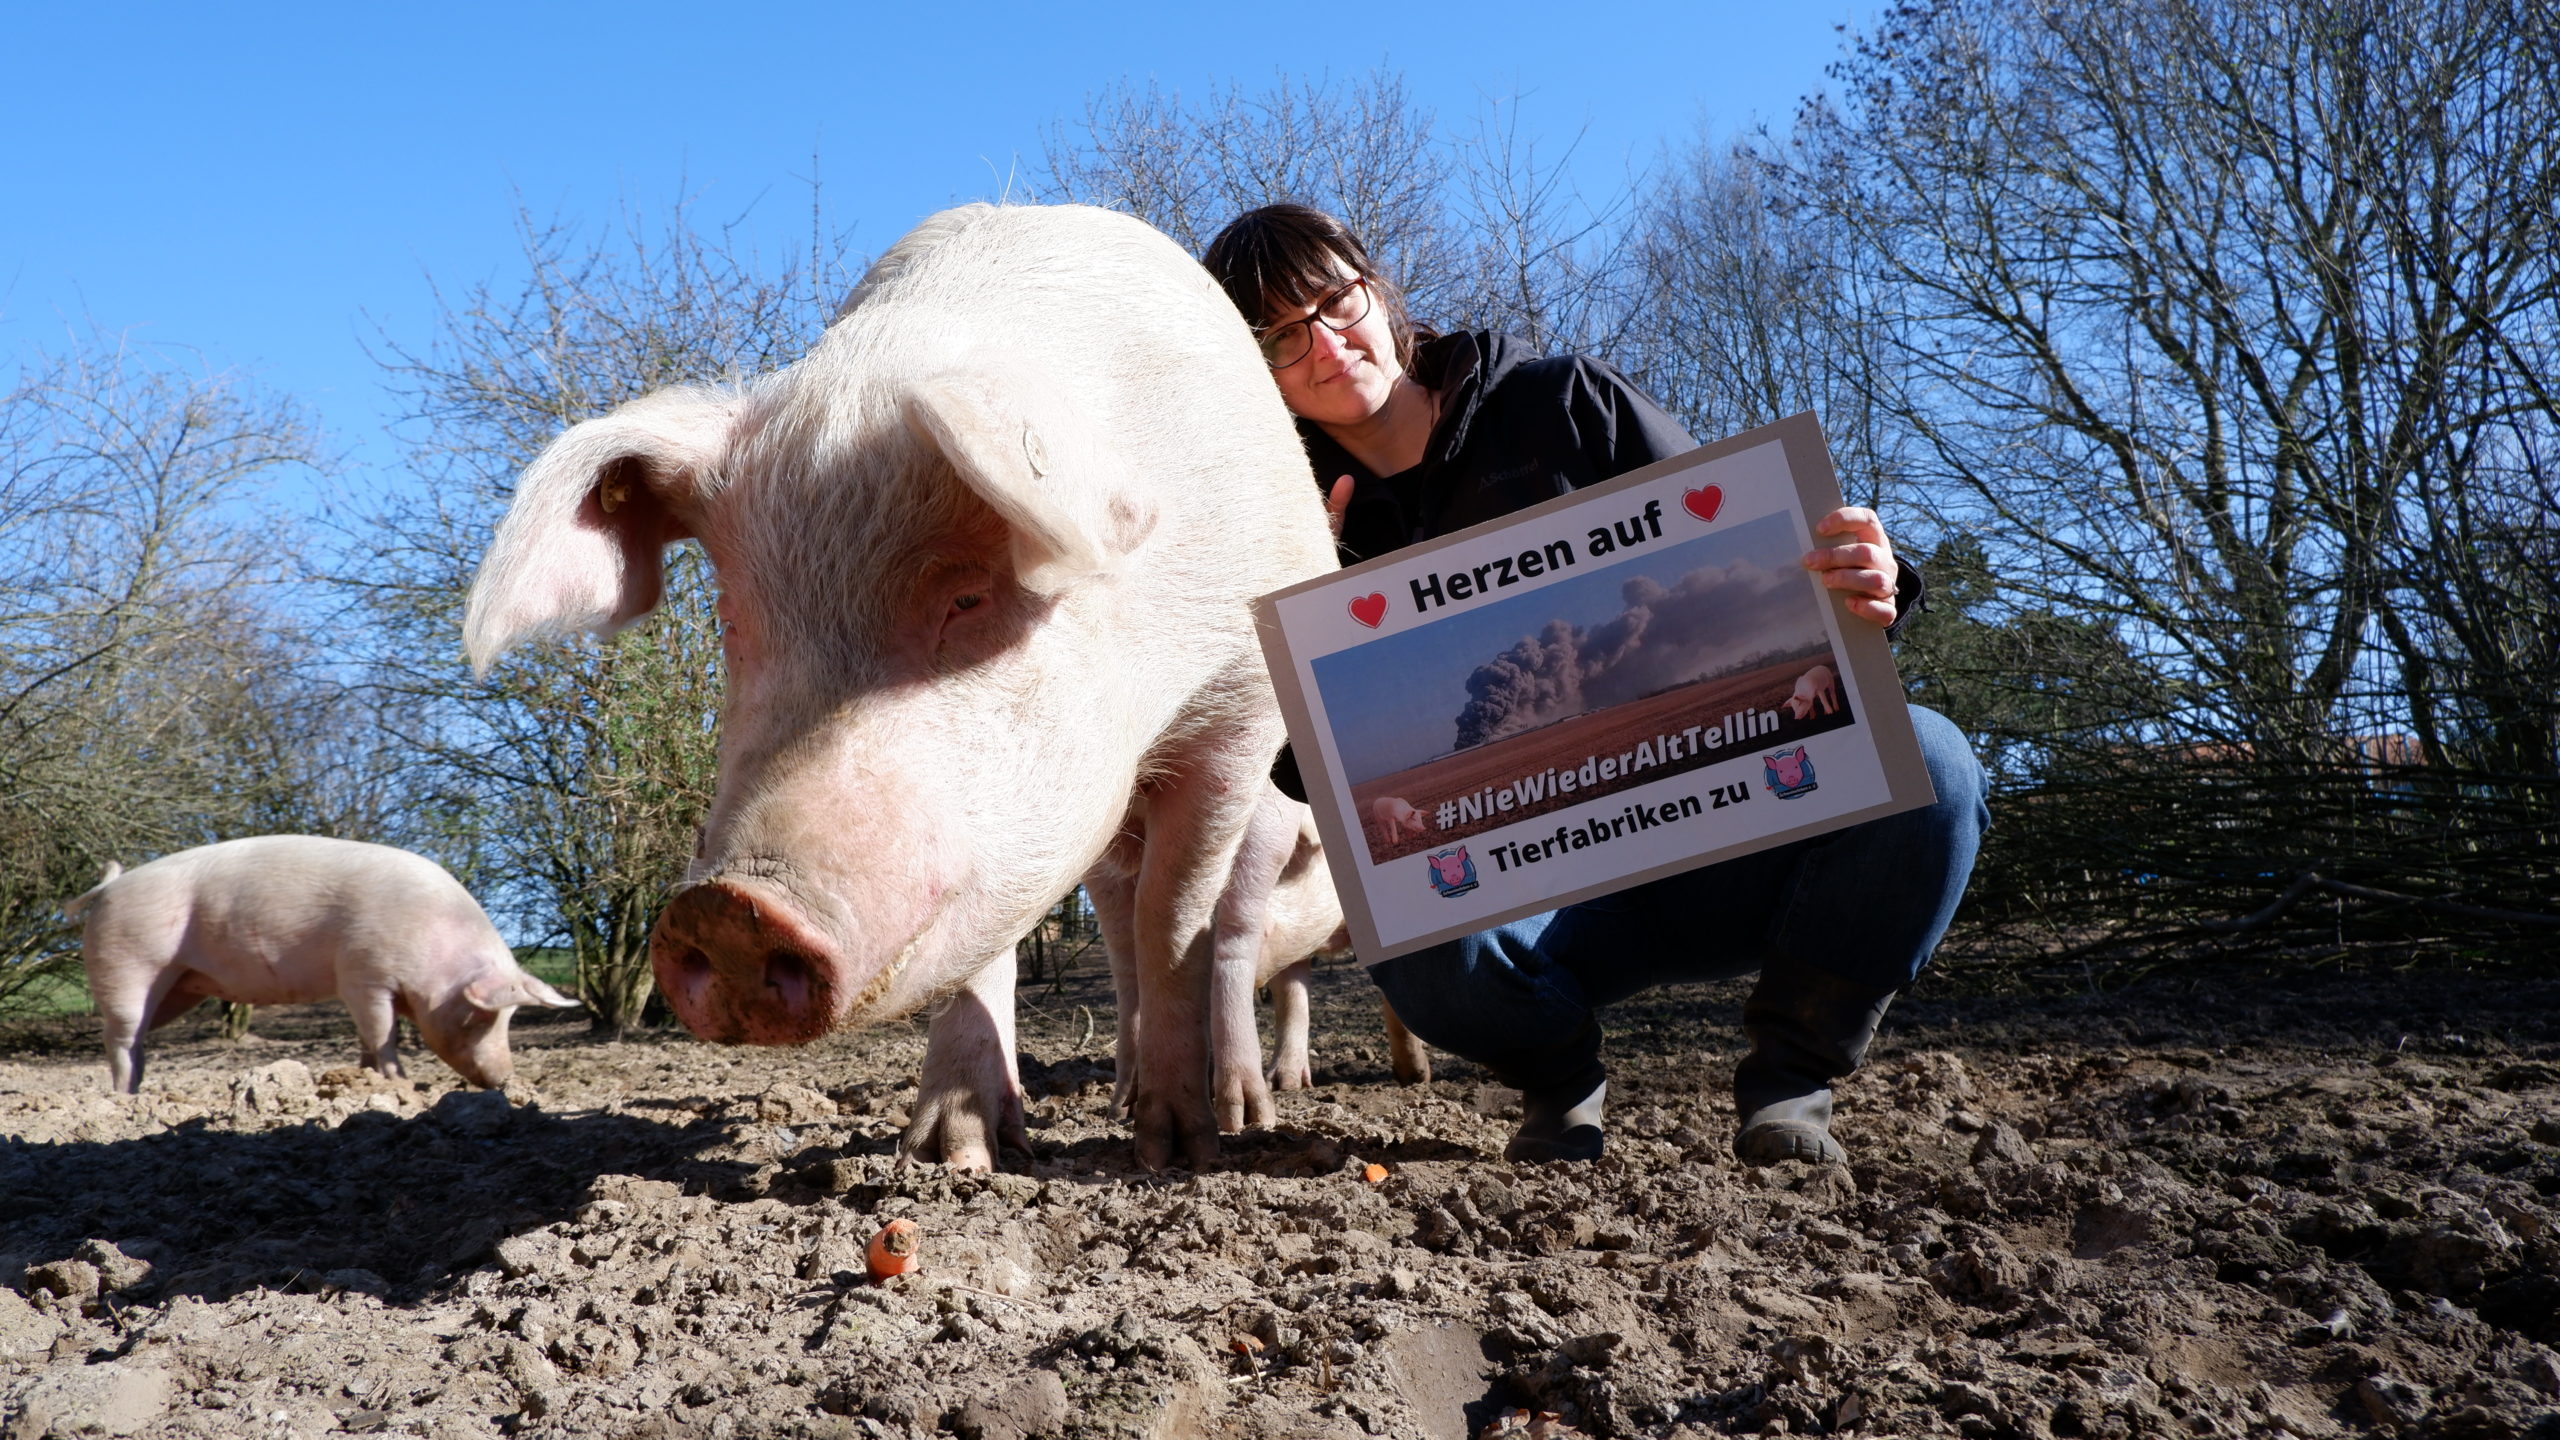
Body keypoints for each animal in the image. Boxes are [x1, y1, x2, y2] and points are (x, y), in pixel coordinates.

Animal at [56, 830, 581, 1086]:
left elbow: (371, 1038)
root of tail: (108, 889)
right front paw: (399, 1084)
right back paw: (123, 1097)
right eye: (476, 1017)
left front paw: (367, 1079)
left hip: (179, 988)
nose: (505, 1080)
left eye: (510, 1020)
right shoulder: (363, 977)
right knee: (120, 1037)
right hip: (128, 965)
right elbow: (383, 1033)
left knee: (137, 1037)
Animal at [463, 202, 1341, 1168]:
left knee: (1221, 933)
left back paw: (1236, 1115)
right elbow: (996, 938)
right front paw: (951, 1154)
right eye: (731, 616)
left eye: (967, 596)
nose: (728, 909)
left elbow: (1176, 915)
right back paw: (1111, 1097)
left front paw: (1174, 1155)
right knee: (1115, 929)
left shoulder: (1238, 704)